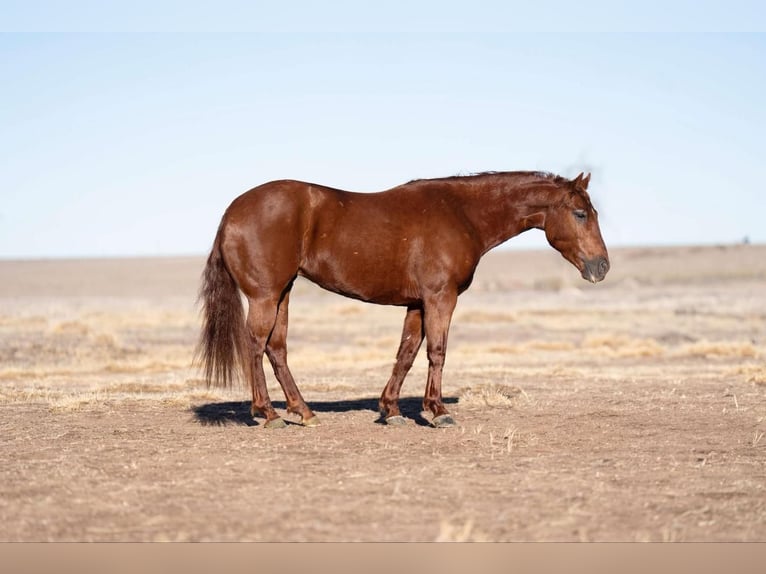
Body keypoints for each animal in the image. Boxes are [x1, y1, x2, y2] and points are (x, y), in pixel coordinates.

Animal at [198, 170, 612, 428]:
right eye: (580, 213)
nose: (602, 266)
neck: (461, 214)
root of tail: (231, 213)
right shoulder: (440, 298)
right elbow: (437, 351)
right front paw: (438, 410)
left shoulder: (416, 303)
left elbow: (407, 352)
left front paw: (391, 409)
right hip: (265, 296)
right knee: (255, 345)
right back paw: (268, 414)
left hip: (282, 293)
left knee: (276, 348)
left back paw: (305, 412)